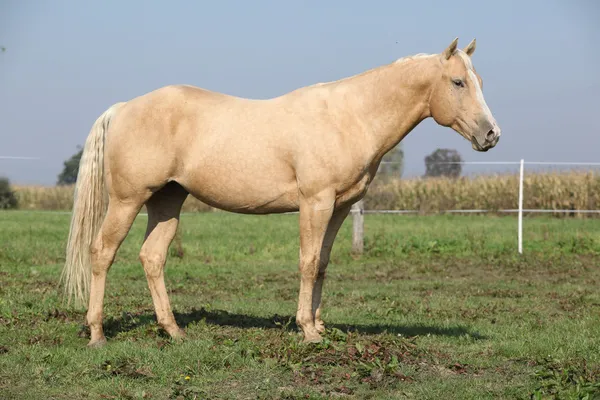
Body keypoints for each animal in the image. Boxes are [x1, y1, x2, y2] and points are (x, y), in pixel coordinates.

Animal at [62, 36, 502, 346]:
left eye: (480, 81)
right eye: (458, 82)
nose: (491, 135)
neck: (351, 116)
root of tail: (122, 107)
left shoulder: (340, 208)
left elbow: (322, 263)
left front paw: (320, 325)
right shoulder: (315, 202)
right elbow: (307, 262)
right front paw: (307, 330)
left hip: (167, 200)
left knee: (152, 257)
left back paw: (173, 331)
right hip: (127, 200)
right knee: (102, 253)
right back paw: (97, 333)